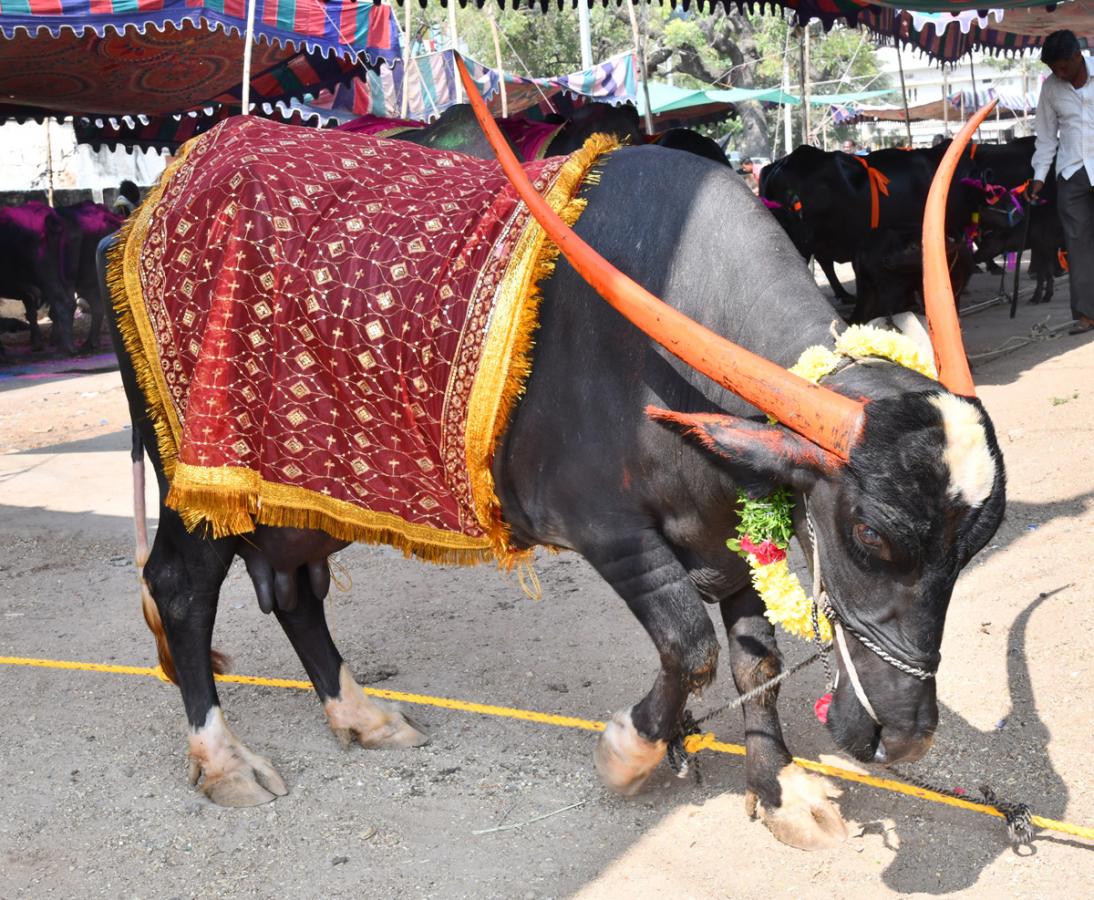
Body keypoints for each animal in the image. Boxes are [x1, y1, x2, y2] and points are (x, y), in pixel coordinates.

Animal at [98, 121, 1002, 852]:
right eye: (871, 534)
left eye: (975, 545)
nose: (904, 737)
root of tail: (141, 213)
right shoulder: (609, 531)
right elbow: (691, 645)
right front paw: (631, 752)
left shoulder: (731, 529)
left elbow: (756, 659)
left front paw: (779, 790)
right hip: (200, 485)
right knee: (178, 588)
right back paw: (223, 760)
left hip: (303, 493)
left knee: (293, 588)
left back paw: (360, 715)